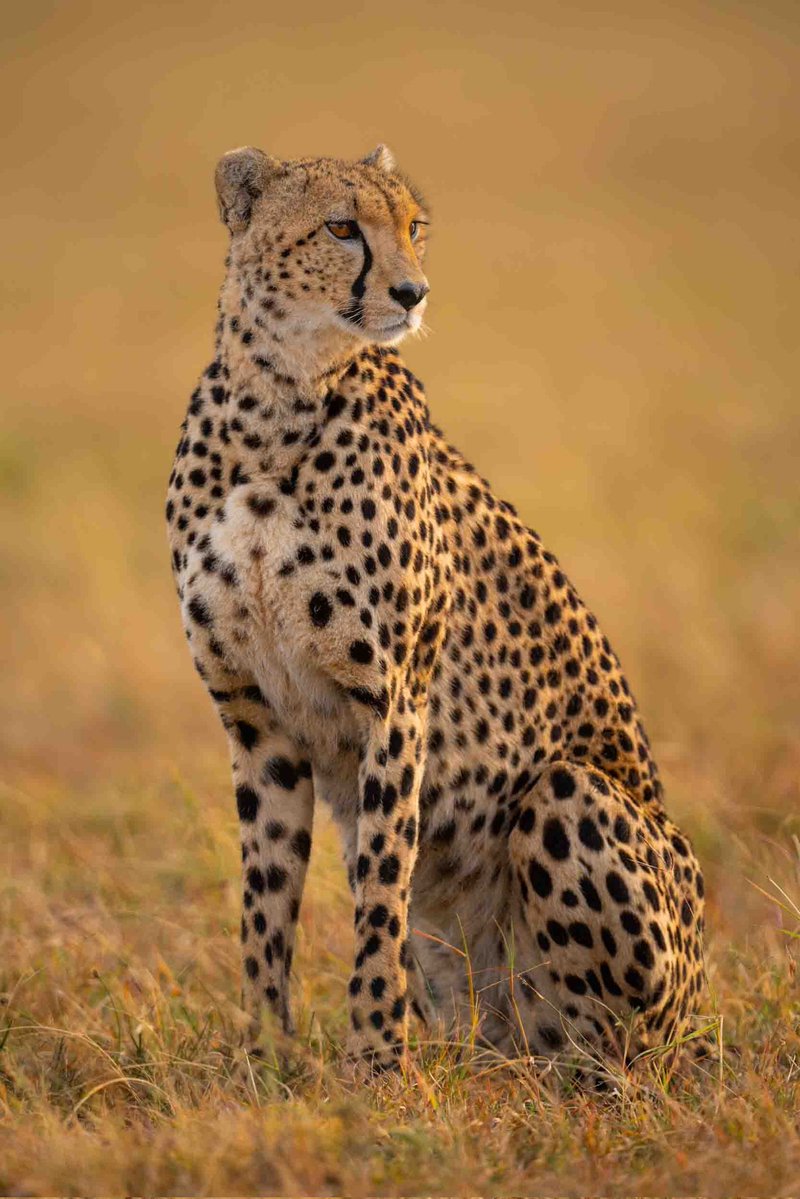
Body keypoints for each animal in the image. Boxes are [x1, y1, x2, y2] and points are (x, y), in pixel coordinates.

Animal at [165, 142, 707, 1075]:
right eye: (341, 228)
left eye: (414, 226)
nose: (413, 292)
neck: (276, 405)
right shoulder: (256, 720)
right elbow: (264, 905)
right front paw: (262, 1057)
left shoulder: (394, 702)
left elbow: (381, 896)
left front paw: (376, 1061)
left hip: (571, 797)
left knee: (614, 1051)